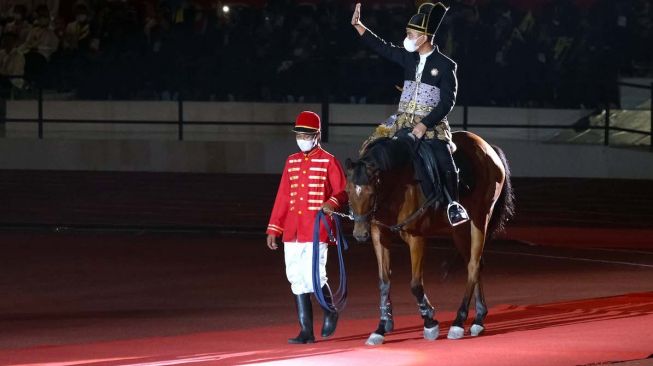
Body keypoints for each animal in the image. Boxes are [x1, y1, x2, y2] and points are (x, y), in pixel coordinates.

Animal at [344, 132, 512, 346]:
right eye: (348, 191)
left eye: (372, 192)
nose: (359, 233)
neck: (398, 181)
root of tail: (488, 148)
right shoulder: (378, 234)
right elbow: (384, 281)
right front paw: (381, 327)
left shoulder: (416, 237)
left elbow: (416, 284)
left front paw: (430, 322)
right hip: (459, 230)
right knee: (475, 264)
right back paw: (479, 320)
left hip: (480, 219)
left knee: (473, 266)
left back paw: (458, 322)